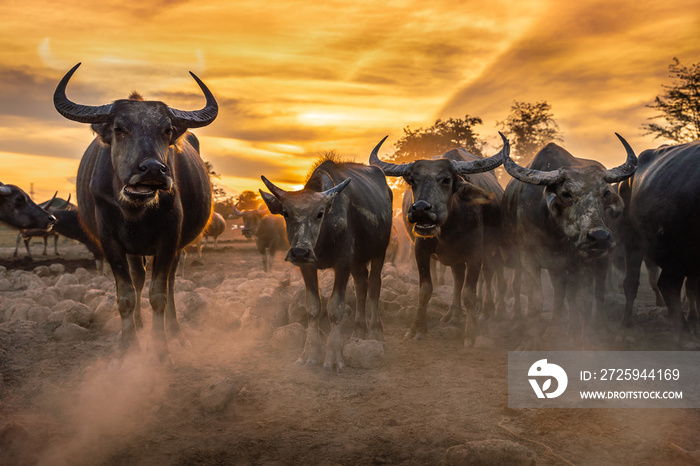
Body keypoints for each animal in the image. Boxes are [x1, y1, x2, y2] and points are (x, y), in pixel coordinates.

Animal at [53, 62, 217, 360]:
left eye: (166, 130)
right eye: (119, 128)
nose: (152, 169)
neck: (135, 211)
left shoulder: (170, 238)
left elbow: (159, 294)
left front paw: (161, 348)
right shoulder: (110, 240)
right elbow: (126, 295)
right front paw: (127, 347)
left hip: (177, 247)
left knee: (170, 284)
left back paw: (176, 333)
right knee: (138, 279)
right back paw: (139, 324)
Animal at [262, 157, 394, 372]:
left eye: (319, 213)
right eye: (286, 213)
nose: (300, 252)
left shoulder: (343, 263)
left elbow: (335, 308)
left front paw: (333, 356)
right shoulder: (307, 266)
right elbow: (313, 307)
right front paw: (309, 354)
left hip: (379, 252)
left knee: (374, 286)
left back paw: (376, 334)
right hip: (357, 262)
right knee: (361, 285)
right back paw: (358, 333)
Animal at [372, 133, 508, 344]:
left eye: (446, 180)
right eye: (413, 180)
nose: (420, 209)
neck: (449, 229)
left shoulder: (475, 253)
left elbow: (470, 293)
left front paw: (472, 333)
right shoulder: (420, 251)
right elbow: (425, 290)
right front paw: (417, 329)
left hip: (491, 249)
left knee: (491, 274)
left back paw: (491, 311)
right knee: (458, 278)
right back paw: (453, 314)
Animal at [500, 133, 636, 344]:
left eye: (605, 193)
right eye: (566, 193)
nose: (599, 237)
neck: (553, 229)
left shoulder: (582, 260)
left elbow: (583, 300)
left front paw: (582, 340)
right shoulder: (528, 259)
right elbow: (537, 301)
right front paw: (534, 338)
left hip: (602, 259)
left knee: (595, 293)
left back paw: (599, 328)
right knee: (559, 293)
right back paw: (555, 328)